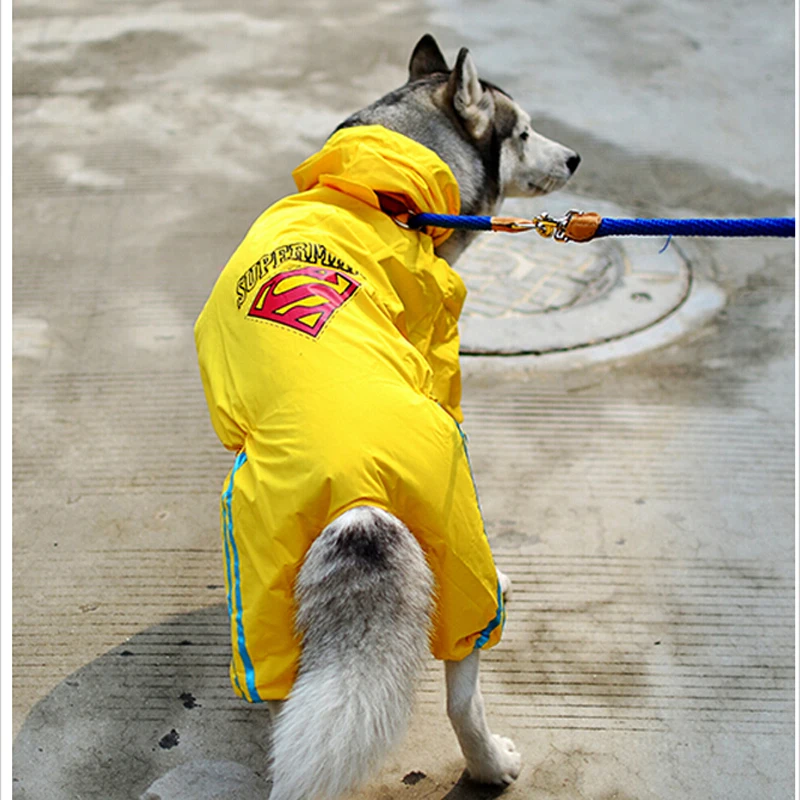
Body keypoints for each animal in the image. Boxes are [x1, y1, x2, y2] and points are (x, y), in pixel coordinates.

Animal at [264, 34, 580, 796]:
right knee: (463, 695)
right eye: (523, 132)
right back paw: (493, 762)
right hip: (453, 544)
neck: (383, 188)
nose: (575, 158)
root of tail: (359, 503)